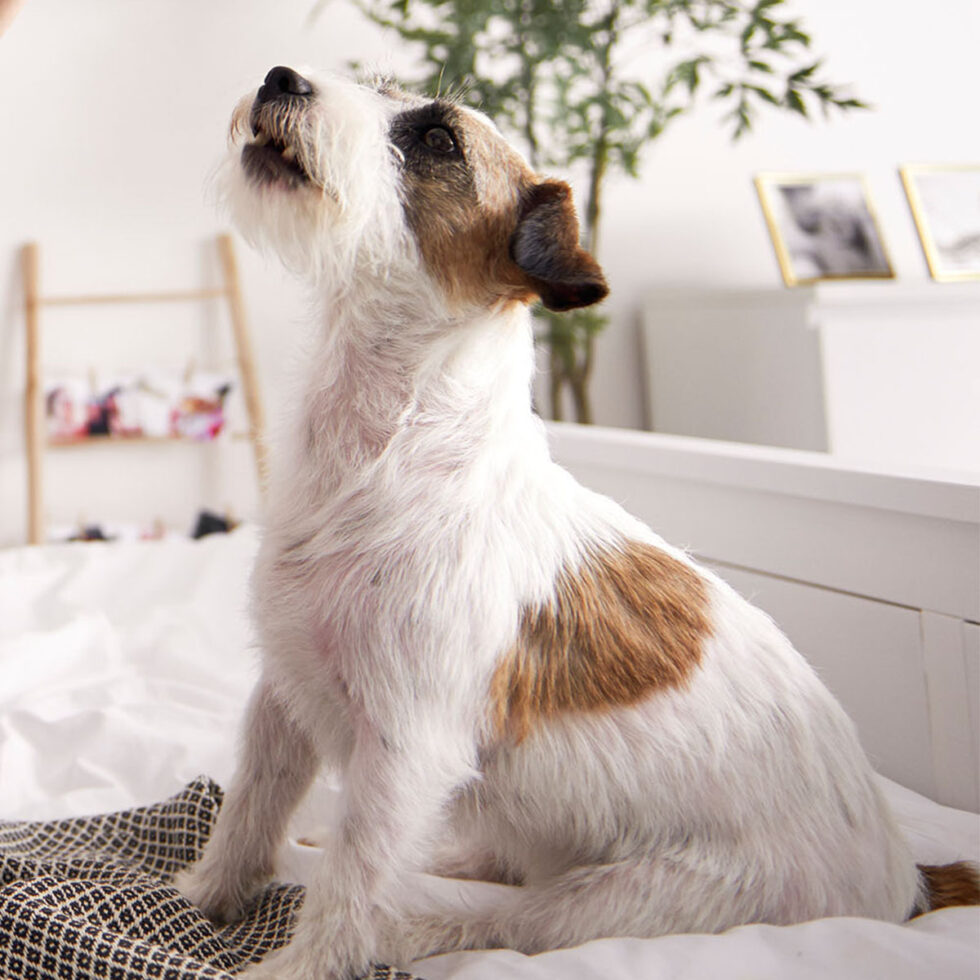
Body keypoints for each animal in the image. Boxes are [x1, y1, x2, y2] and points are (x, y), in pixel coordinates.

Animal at [177, 66, 979, 979]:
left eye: (438, 141)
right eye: (379, 89)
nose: (282, 76)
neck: (386, 446)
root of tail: (907, 881)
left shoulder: (407, 752)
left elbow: (351, 882)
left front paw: (302, 963)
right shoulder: (282, 694)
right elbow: (250, 806)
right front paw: (205, 895)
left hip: (627, 899)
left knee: (500, 914)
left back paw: (411, 919)